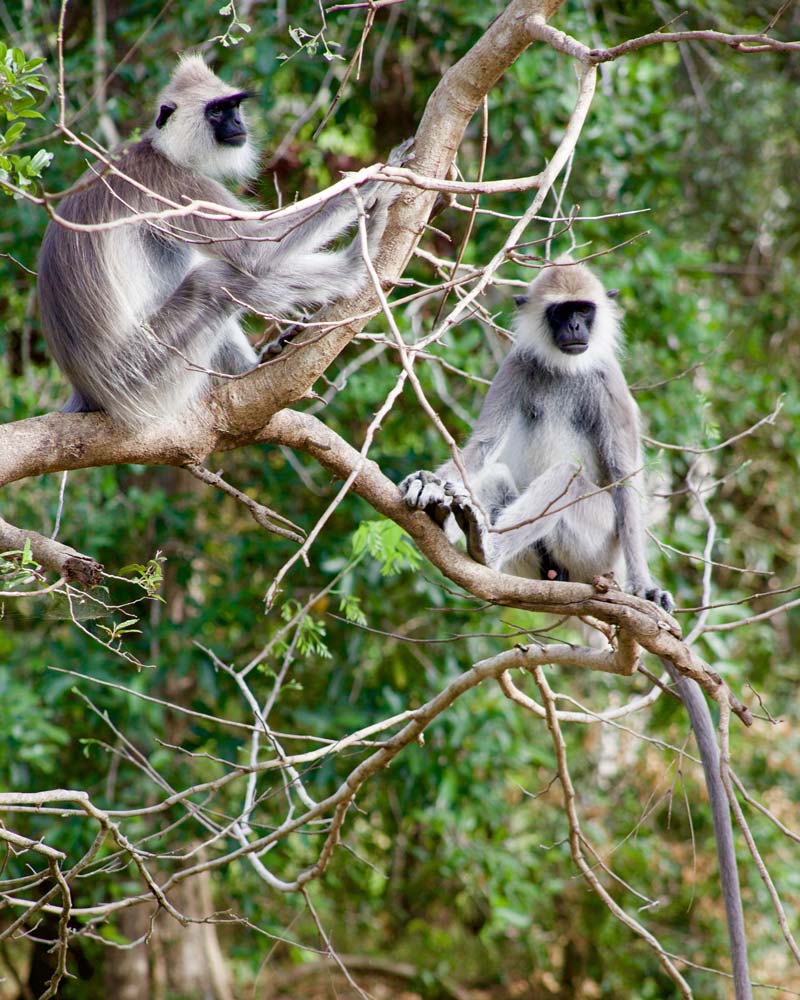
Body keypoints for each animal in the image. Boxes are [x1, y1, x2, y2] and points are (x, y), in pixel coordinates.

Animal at [38, 56, 404, 428]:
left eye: (234, 107)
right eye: (216, 111)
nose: (238, 122)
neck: (162, 150)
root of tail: (87, 393)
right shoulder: (178, 185)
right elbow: (255, 248)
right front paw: (366, 186)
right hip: (142, 373)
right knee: (210, 282)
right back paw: (355, 264)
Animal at [404, 258, 752, 1000]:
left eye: (585, 313)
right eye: (561, 312)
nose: (573, 332)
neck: (565, 370)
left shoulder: (607, 384)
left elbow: (624, 479)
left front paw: (652, 586)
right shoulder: (517, 367)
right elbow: (479, 447)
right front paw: (430, 483)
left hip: (595, 544)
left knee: (571, 478)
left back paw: (492, 548)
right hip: (547, 556)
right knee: (498, 475)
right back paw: (466, 524)